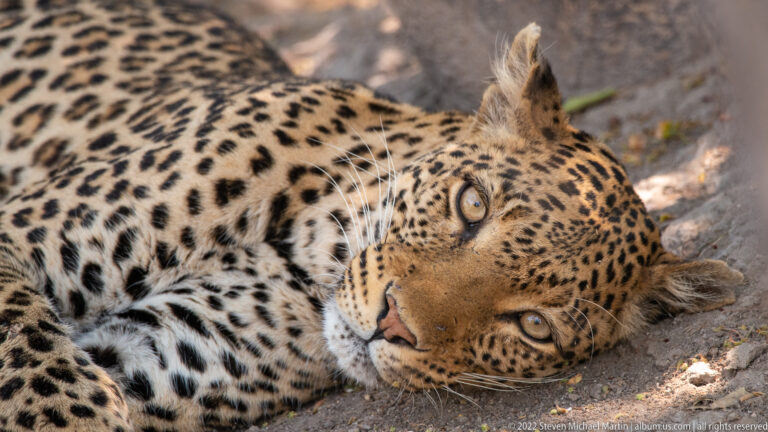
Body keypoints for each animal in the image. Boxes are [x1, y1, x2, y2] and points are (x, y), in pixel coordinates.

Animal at [0, 0, 744, 430]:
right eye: (471, 205)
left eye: (532, 325)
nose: (393, 325)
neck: (303, 255)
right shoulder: (24, 231)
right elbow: (25, 335)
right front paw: (66, 417)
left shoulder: (146, 353)